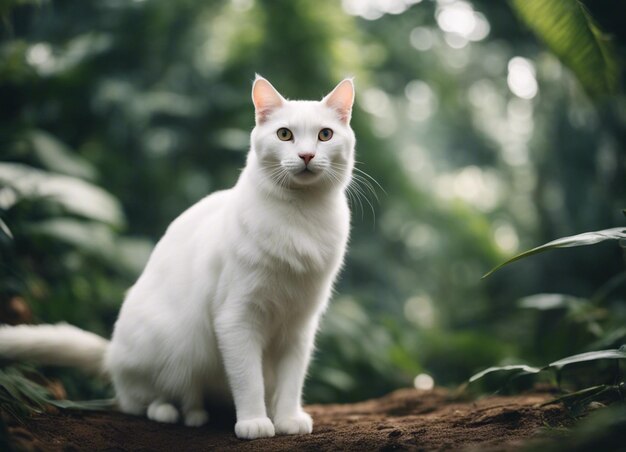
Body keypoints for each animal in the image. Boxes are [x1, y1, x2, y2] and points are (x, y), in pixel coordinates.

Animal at [0, 76, 354, 440]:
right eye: (285, 134)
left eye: (324, 135)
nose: (307, 155)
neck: (300, 217)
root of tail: (112, 352)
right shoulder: (236, 318)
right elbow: (248, 379)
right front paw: (254, 422)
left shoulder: (299, 326)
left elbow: (291, 381)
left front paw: (286, 419)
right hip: (170, 347)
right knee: (137, 400)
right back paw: (172, 412)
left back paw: (198, 413)